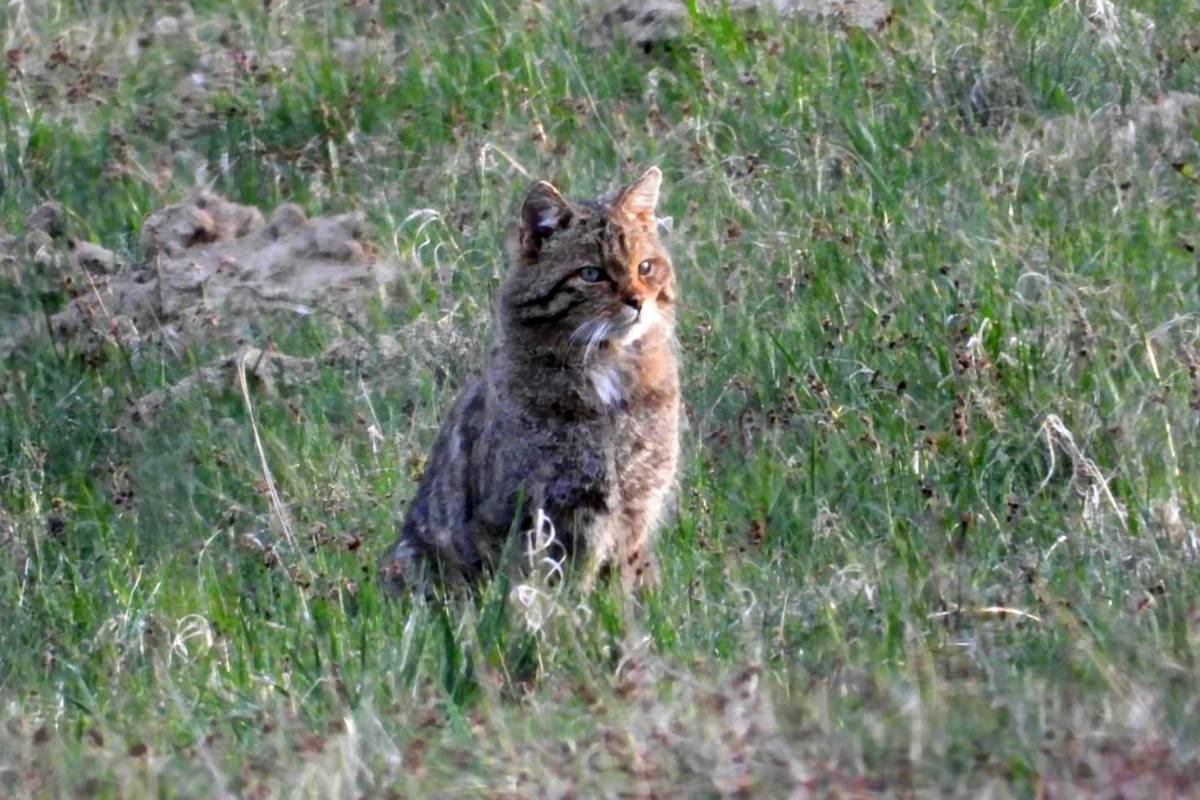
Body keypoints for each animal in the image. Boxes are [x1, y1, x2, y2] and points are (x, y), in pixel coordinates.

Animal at [386, 167, 686, 594]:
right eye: (592, 274)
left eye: (645, 267)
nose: (638, 301)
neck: (608, 365)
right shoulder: (536, 512)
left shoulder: (636, 504)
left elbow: (623, 581)